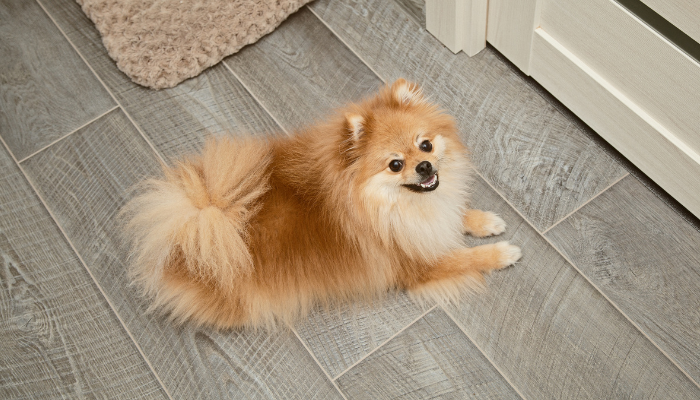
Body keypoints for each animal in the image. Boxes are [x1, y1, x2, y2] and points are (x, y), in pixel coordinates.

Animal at [123, 78, 520, 328]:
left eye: (426, 144)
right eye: (395, 164)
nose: (425, 167)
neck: (392, 206)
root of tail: (199, 220)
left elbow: (456, 214)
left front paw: (485, 221)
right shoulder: (417, 264)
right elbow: (466, 258)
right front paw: (503, 252)